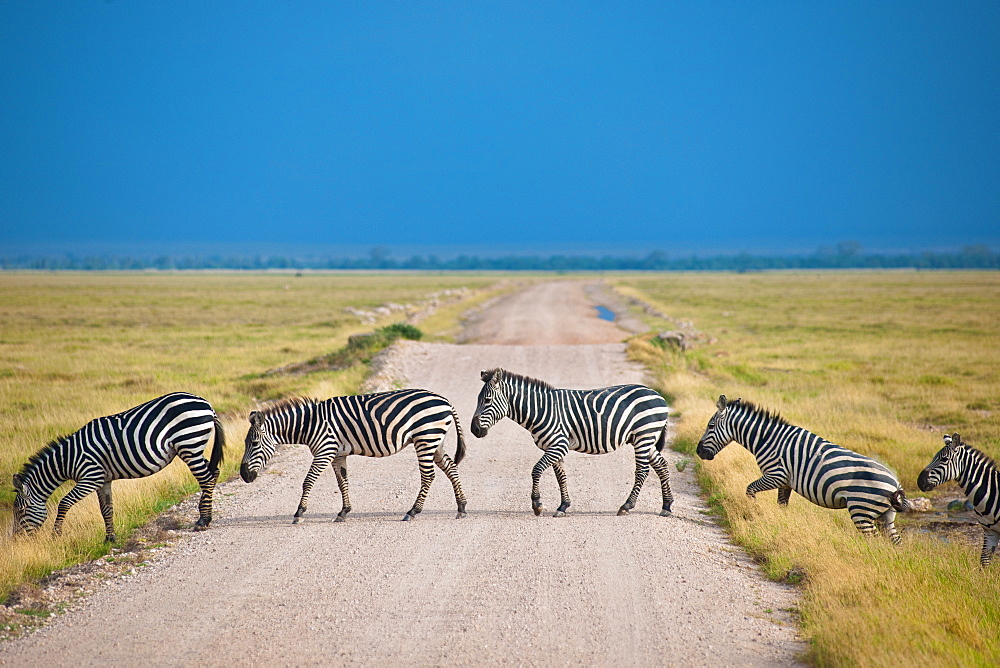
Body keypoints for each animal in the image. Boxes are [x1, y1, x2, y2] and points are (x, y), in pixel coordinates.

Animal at [11, 392, 224, 544]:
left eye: (20, 511)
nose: (16, 540)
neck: (68, 459)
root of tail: (206, 404)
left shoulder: (91, 477)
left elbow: (64, 503)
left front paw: (56, 535)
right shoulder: (103, 480)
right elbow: (106, 509)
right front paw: (109, 539)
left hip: (189, 444)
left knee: (205, 478)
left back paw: (203, 520)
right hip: (192, 448)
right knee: (213, 473)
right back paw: (206, 514)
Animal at [239, 388, 468, 524]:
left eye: (254, 443)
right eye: (245, 443)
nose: (243, 475)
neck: (310, 424)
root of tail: (445, 400)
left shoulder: (324, 451)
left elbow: (308, 481)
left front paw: (299, 513)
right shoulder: (337, 454)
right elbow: (343, 483)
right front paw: (344, 512)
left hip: (426, 438)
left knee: (428, 476)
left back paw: (412, 511)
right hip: (435, 440)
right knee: (450, 467)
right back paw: (461, 507)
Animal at [470, 368, 672, 520]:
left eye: (487, 400)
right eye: (478, 400)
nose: (474, 430)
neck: (541, 410)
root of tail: (658, 395)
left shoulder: (559, 445)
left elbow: (536, 470)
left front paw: (537, 504)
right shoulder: (553, 447)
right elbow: (561, 477)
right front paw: (563, 506)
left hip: (644, 436)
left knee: (642, 471)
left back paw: (627, 506)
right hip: (647, 439)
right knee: (662, 465)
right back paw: (667, 506)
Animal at [696, 396, 908, 544]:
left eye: (711, 425)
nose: (699, 452)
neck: (767, 439)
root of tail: (896, 483)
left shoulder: (775, 475)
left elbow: (750, 489)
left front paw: (754, 510)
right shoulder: (785, 482)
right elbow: (782, 506)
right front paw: (780, 524)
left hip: (861, 510)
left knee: (873, 540)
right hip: (885, 515)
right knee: (895, 542)